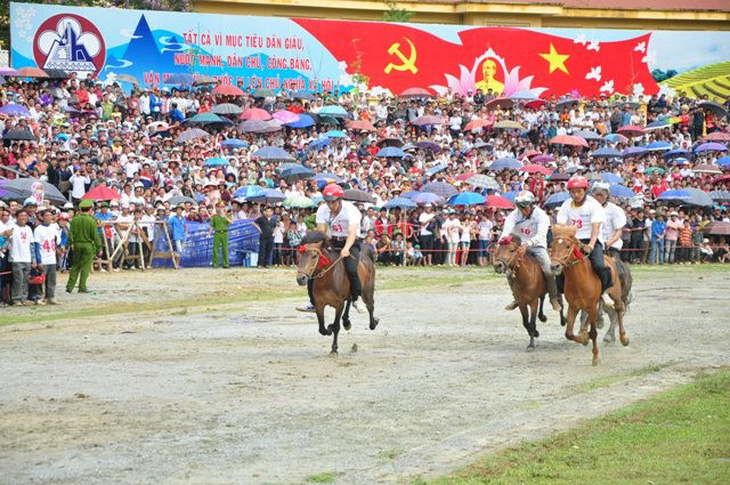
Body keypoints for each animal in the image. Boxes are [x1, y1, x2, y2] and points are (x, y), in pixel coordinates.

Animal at [544, 225, 624, 364]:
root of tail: (609, 258)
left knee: (619, 309)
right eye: (552, 245)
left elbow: (594, 332)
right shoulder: (574, 306)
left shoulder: (591, 306)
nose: (555, 266)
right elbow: (569, 334)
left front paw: (596, 358)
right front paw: (584, 339)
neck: (579, 279)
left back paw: (624, 338)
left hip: (616, 294)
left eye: (568, 246)